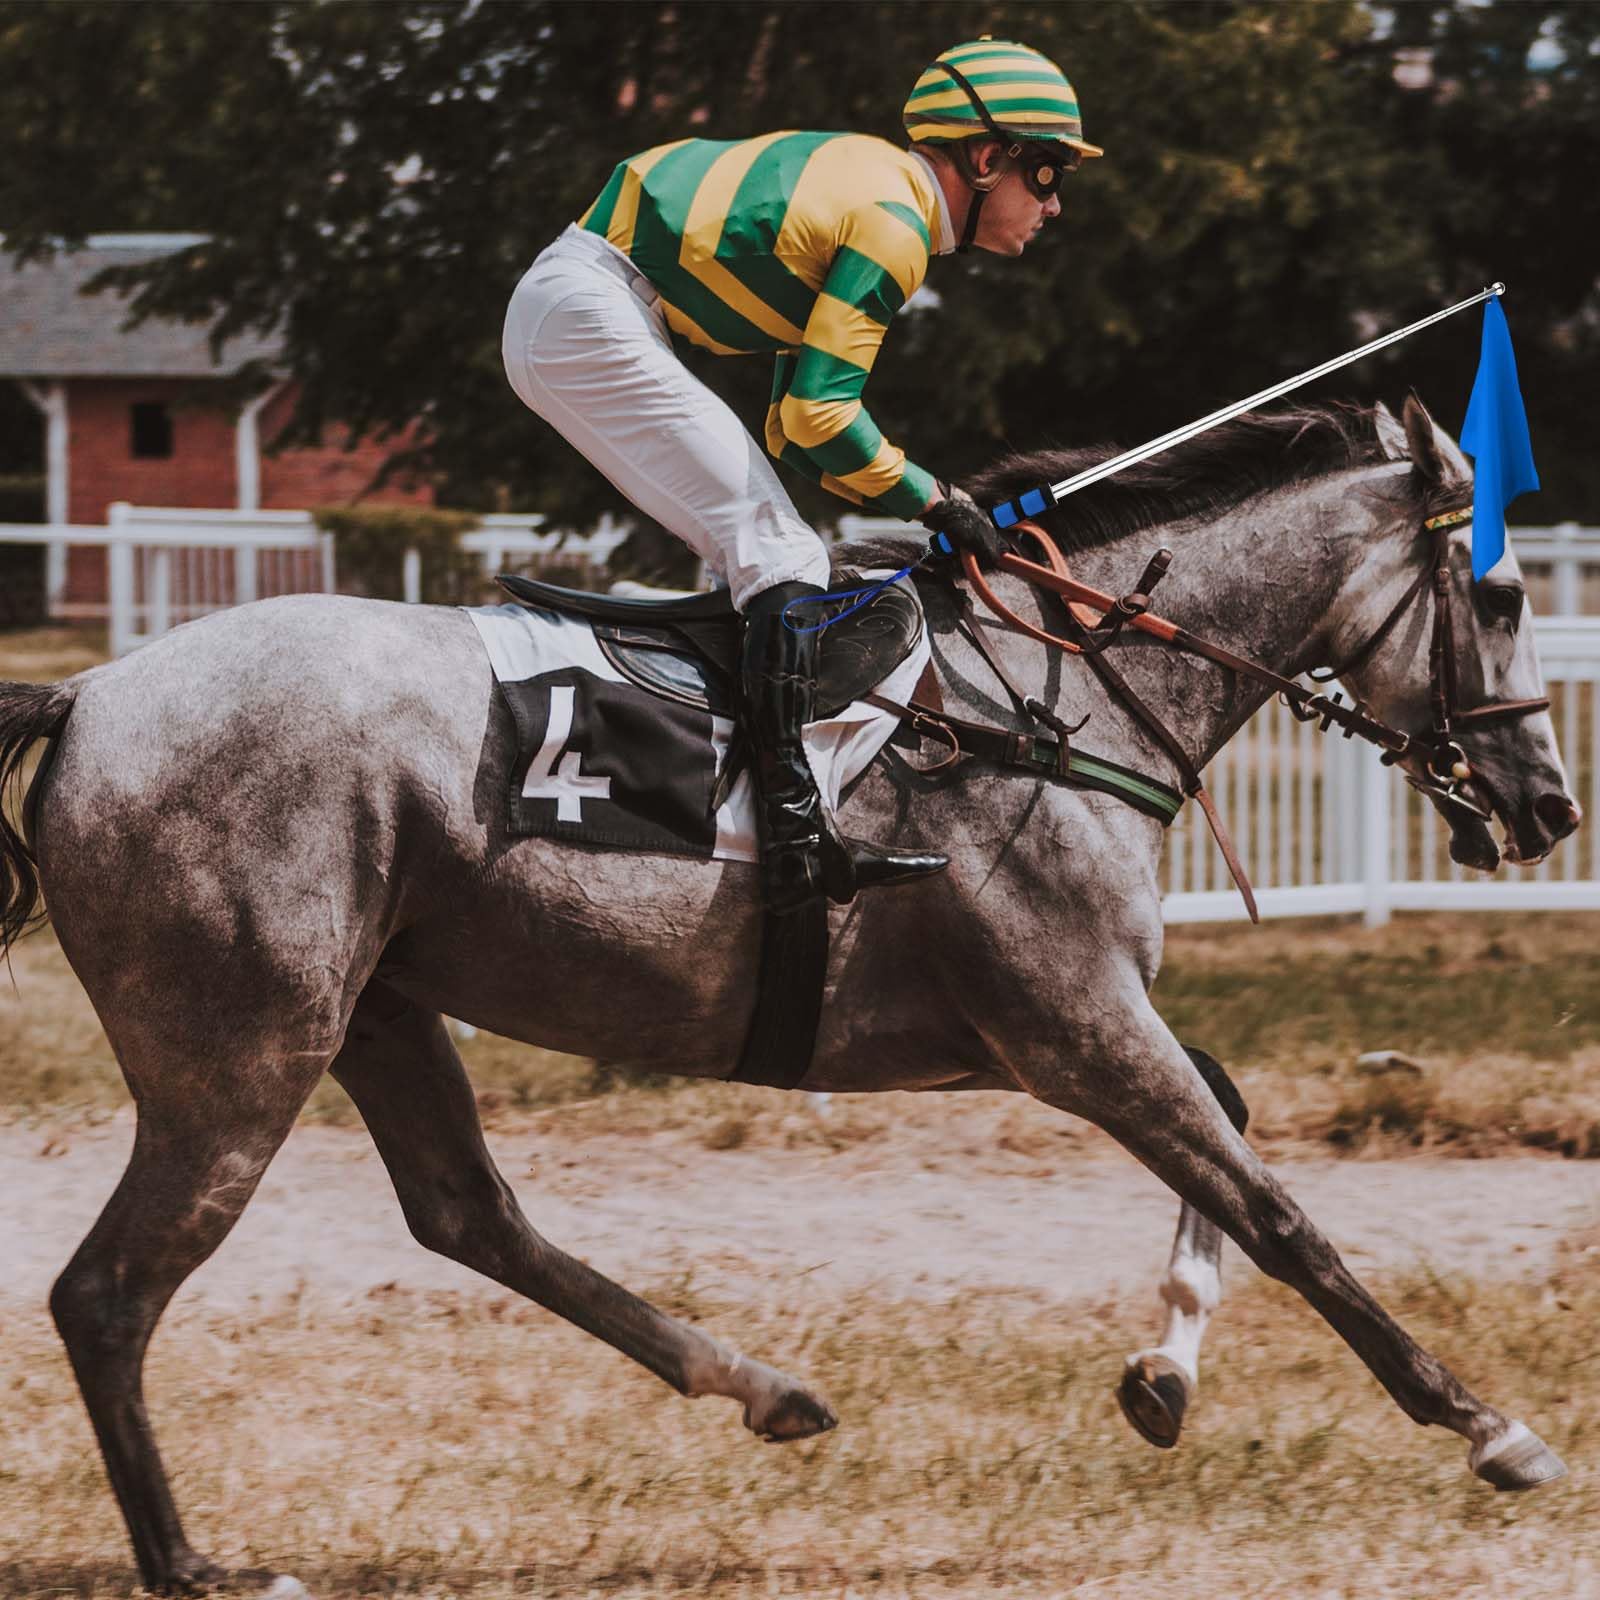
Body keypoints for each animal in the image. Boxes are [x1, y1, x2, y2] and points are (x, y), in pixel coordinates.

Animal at [0, 396, 1579, 1596]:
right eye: (1501, 595)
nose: (1550, 805)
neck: (1062, 694)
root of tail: (89, 698)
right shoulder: (1071, 1024)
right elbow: (1281, 1212)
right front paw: (1487, 1425)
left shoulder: (1041, 1027)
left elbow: (1237, 1138)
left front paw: (1166, 1374)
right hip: (242, 1052)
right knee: (109, 1292)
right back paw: (189, 1563)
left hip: (378, 1007)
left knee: (468, 1214)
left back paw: (763, 1387)